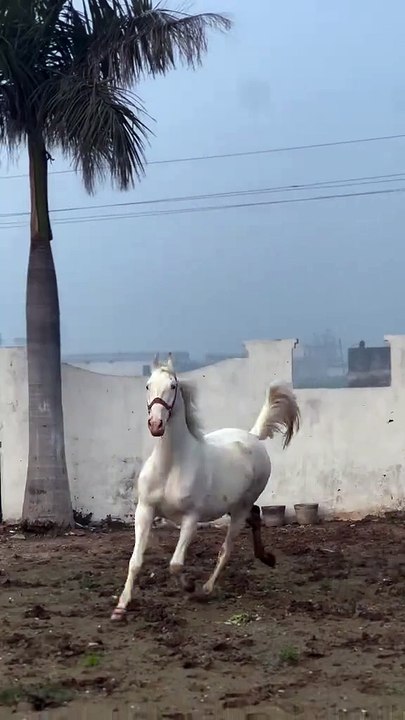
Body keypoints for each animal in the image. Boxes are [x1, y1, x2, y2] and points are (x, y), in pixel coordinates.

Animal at [111, 354, 300, 621]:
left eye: (173, 386)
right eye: (148, 386)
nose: (156, 424)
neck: (171, 465)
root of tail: (253, 436)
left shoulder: (191, 519)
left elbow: (175, 564)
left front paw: (189, 587)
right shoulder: (145, 511)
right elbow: (135, 561)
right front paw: (121, 606)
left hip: (239, 509)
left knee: (227, 548)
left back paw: (207, 589)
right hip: (234, 504)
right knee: (255, 516)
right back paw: (267, 558)